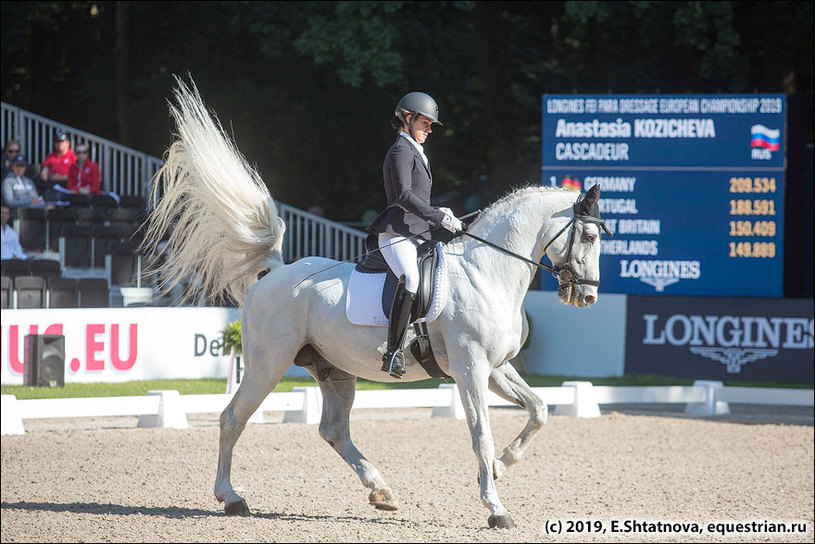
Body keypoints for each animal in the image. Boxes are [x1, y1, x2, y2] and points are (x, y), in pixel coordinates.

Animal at [143, 78, 608, 528]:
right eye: (588, 236)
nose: (587, 295)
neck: (487, 271)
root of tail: (275, 272)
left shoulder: (496, 367)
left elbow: (540, 409)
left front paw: (500, 464)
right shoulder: (471, 368)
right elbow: (481, 434)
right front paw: (496, 508)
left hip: (333, 368)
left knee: (333, 430)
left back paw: (380, 490)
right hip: (267, 363)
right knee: (232, 418)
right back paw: (232, 498)